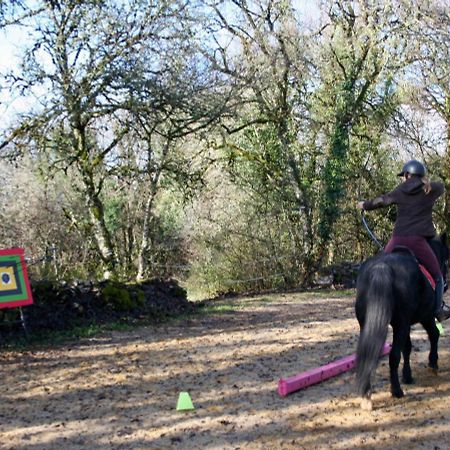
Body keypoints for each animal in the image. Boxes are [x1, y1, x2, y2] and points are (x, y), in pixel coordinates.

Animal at [356, 236, 446, 412]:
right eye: (447, 260)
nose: (446, 285)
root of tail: (382, 267)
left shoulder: (406, 324)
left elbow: (408, 347)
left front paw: (407, 375)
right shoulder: (425, 317)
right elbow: (434, 334)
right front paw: (432, 363)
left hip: (369, 324)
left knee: (366, 354)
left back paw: (366, 396)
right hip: (402, 324)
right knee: (394, 356)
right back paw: (396, 391)